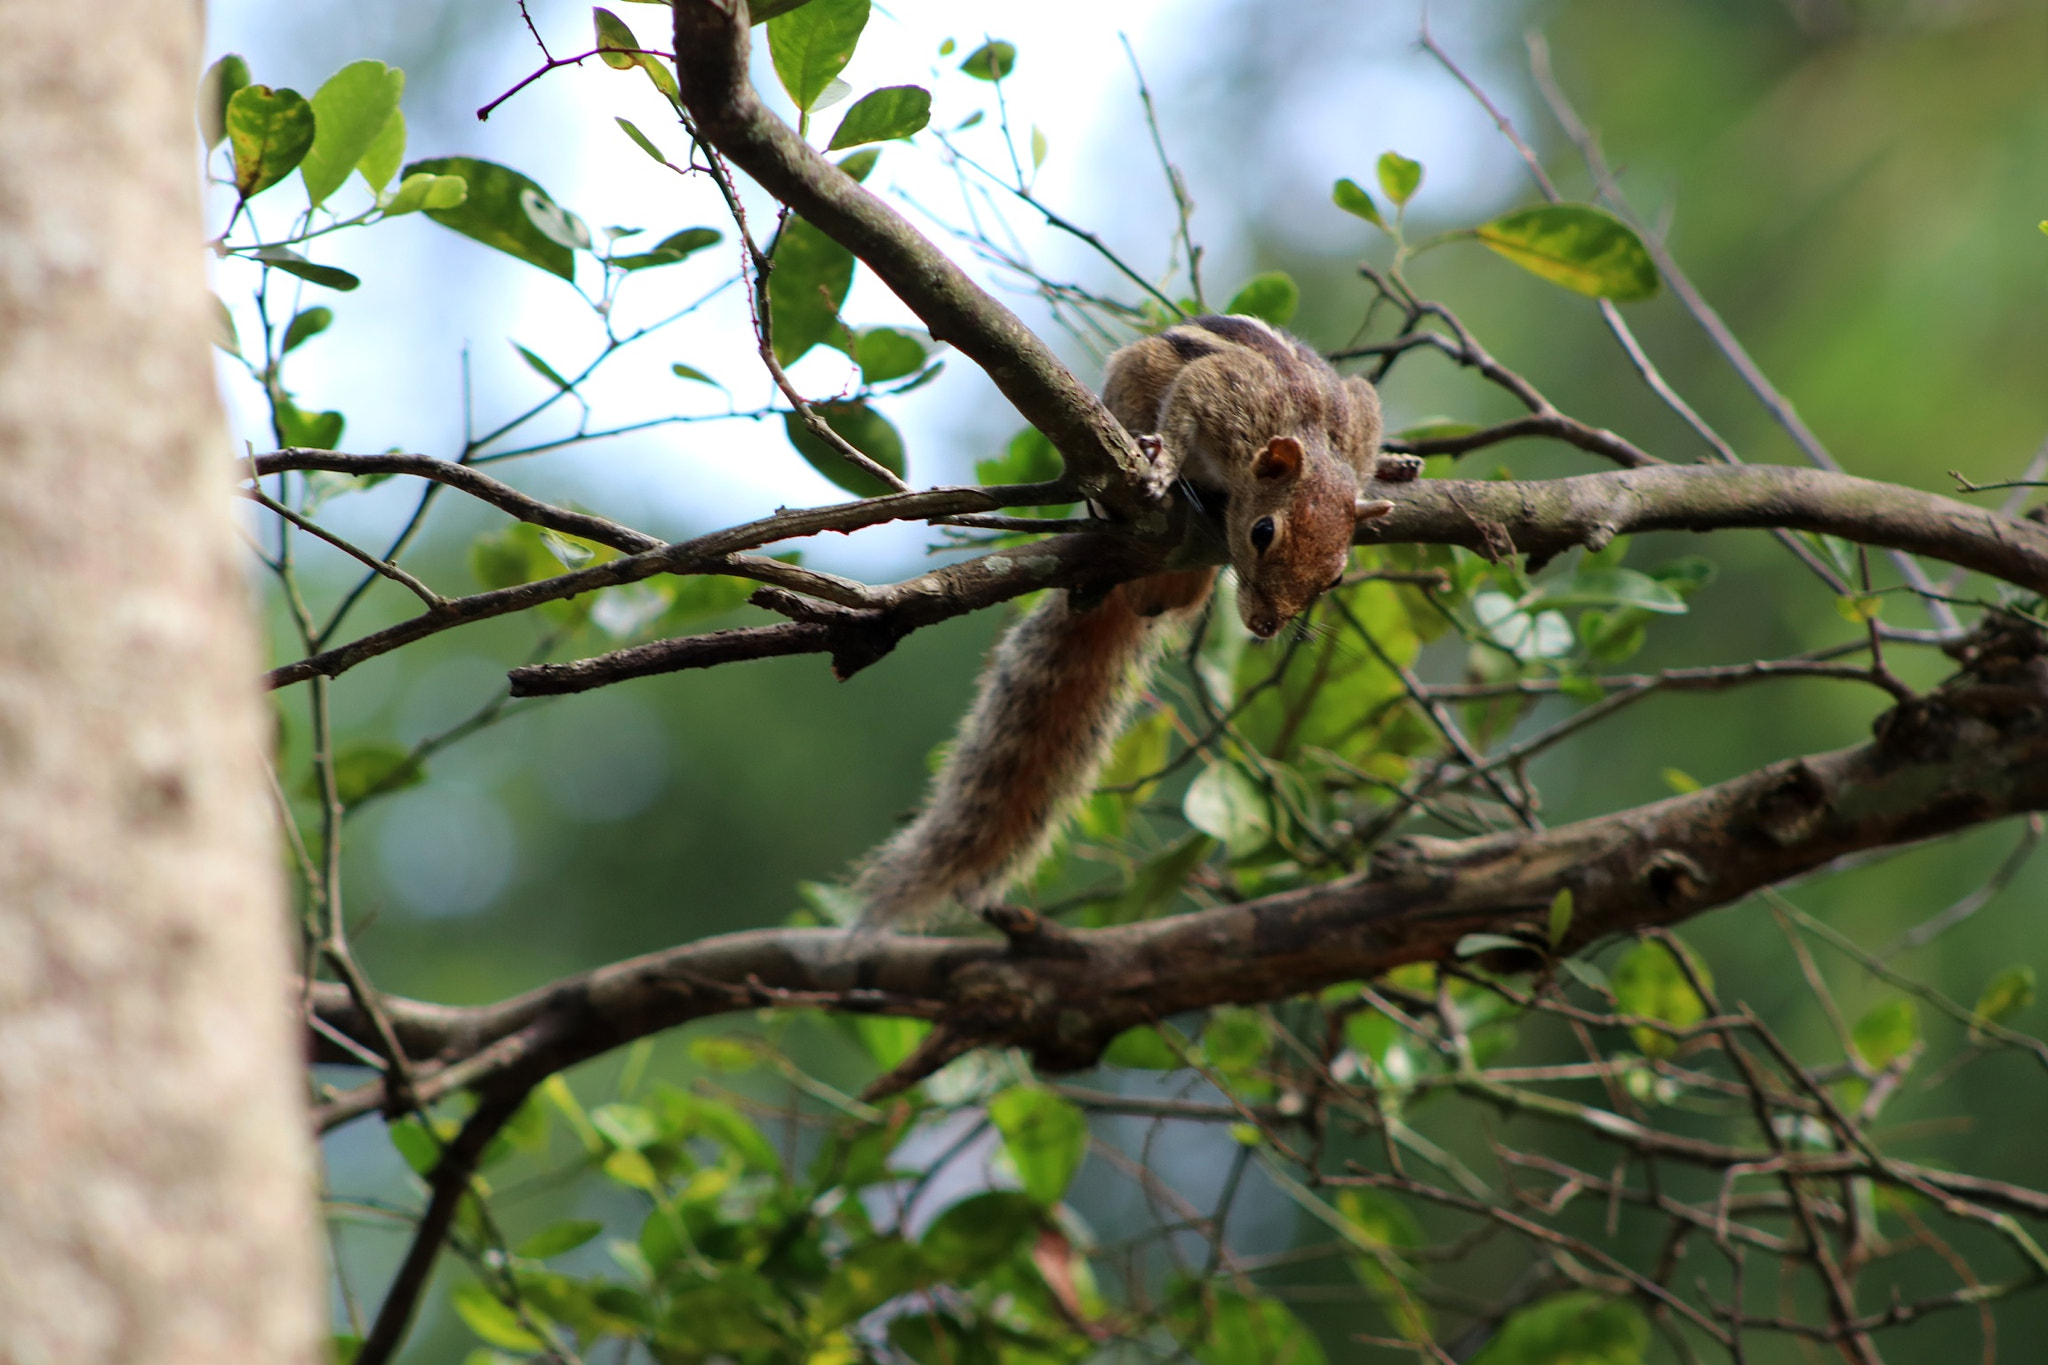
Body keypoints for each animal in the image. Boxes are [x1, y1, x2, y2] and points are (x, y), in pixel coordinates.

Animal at [853, 313, 1409, 928]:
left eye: (1335, 578)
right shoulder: (1222, 390)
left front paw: (1384, 465)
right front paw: (1165, 460)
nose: (1266, 626)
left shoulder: (1359, 418)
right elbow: (1186, 408)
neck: (1311, 434)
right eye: (1263, 532)